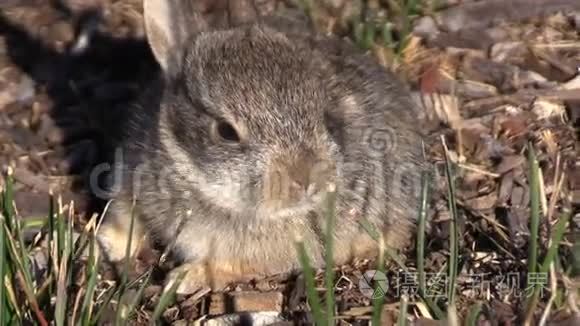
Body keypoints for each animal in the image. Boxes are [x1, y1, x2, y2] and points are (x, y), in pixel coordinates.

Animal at [96, 0, 426, 296]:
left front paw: (185, 278)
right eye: (226, 132)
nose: (307, 180)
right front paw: (112, 242)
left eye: (325, 117)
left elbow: (232, 267)